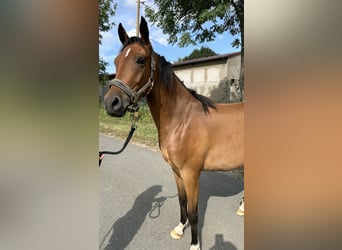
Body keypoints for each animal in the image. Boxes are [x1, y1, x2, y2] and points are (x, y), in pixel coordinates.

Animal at [103, 16, 243, 249]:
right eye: (115, 61)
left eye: (140, 60)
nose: (111, 103)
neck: (182, 120)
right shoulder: (177, 171)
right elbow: (182, 201)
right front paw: (179, 228)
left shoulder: (191, 173)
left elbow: (194, 212)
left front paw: (195, 244)